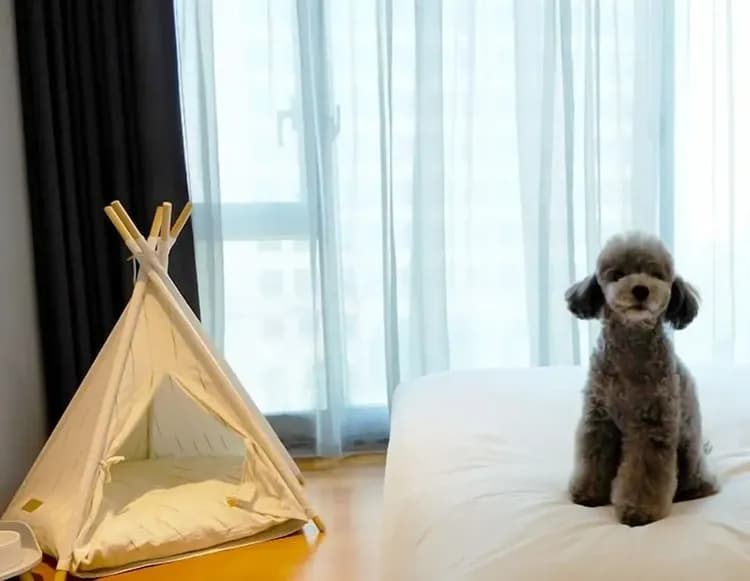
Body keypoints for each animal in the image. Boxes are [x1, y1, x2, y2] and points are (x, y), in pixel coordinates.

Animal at [565, 232, 718, 526]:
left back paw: (694, 489)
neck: (631, 348)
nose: (640, 289)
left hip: (688, 446)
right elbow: (593, 458)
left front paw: (639, 510)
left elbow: (645, 472)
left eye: (656, 275)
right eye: (617, 275)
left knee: (697, 476)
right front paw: (588, 494)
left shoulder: (652, 425)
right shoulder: (599, 419)